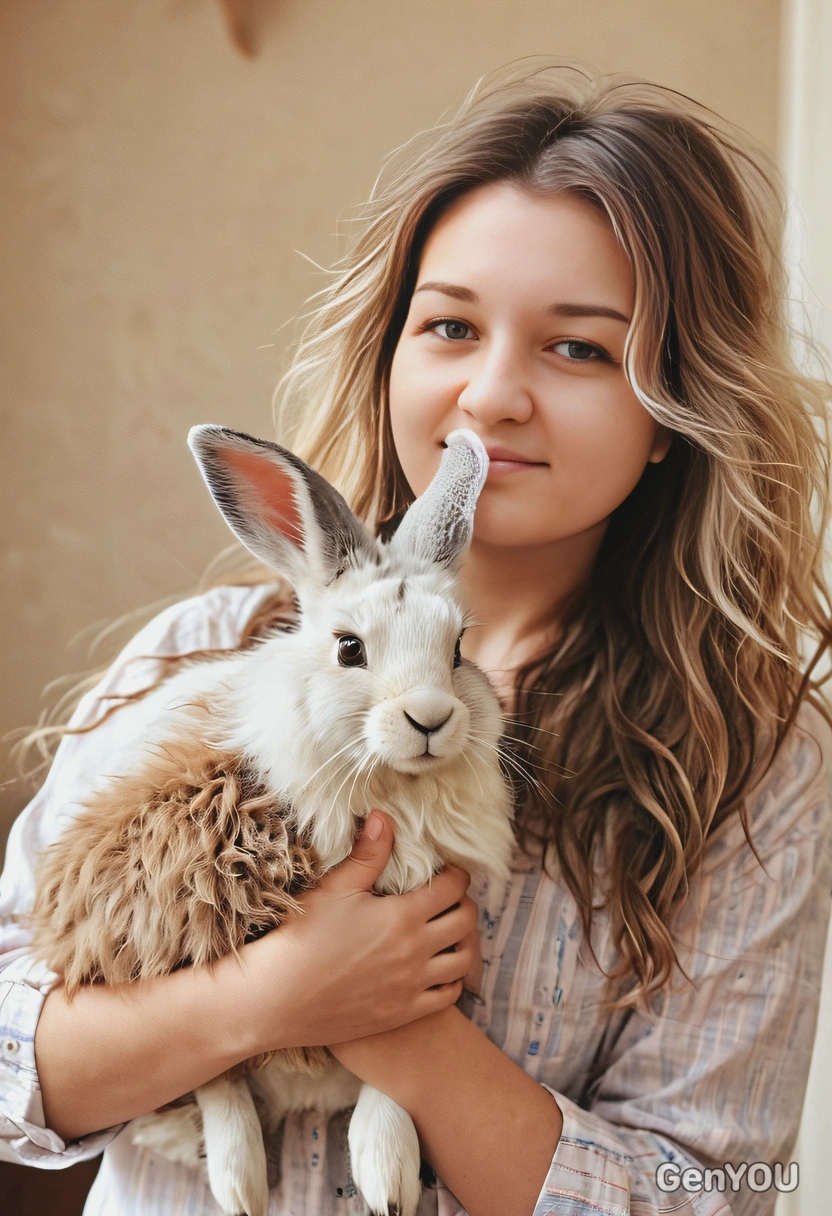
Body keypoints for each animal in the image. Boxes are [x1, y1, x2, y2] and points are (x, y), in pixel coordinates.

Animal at [29, 424, 515, 1216]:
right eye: (349, 648)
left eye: (459, 649)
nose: (431, 718)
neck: (392, 787)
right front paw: (370, 1175)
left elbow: (402, 1066)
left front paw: (387, 1176)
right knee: (213, 1072)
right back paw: (241, 1183)